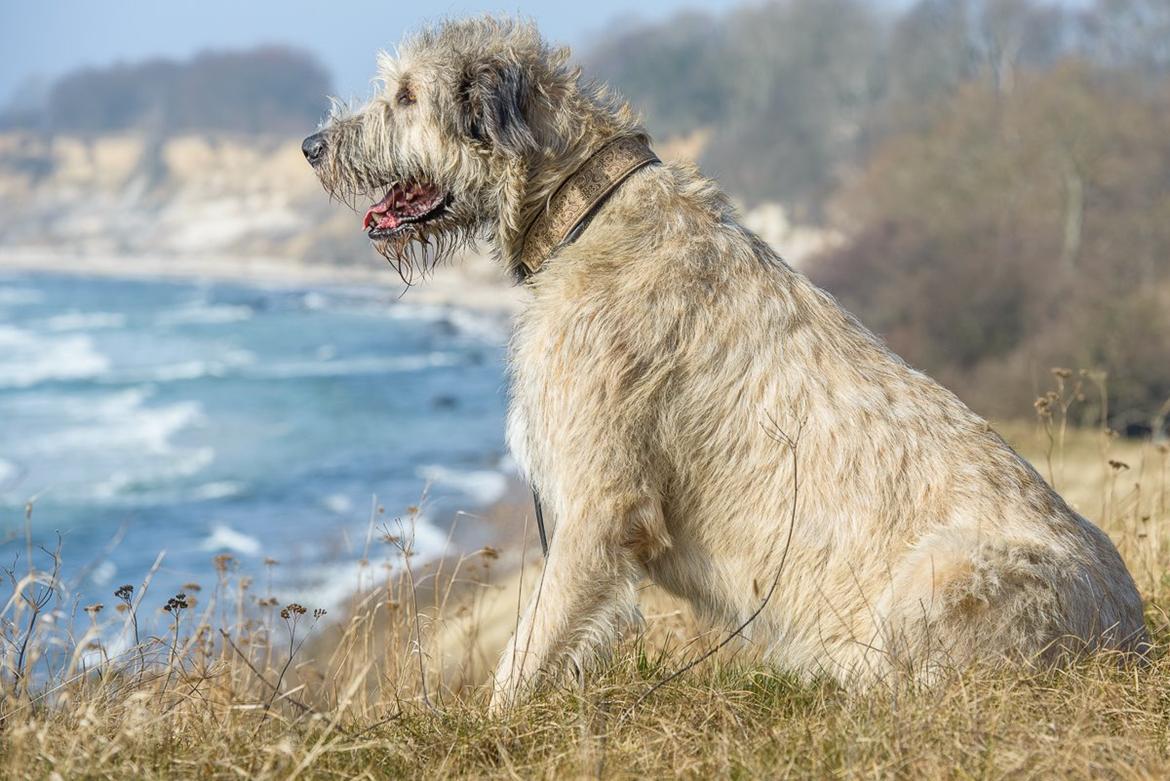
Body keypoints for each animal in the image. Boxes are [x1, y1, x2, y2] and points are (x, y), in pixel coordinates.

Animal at [299, 15, 1141, 706]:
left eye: (407, 96)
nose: (311, 147)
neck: (585, 208)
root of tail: (1127, 633)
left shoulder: (601, 501)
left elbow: (533, 640)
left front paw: (494, 725)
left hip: (946, 577)